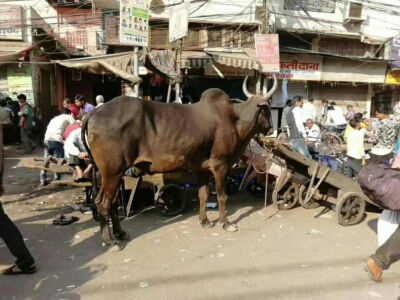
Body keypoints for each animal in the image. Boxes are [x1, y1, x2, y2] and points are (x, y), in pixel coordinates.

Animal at [83, 75, 278, 248]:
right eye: (268, 108)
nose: (272, 129)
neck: (234, 119)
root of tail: (94, 113)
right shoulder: (220, 165)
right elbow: (222, 196)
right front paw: (226, 223)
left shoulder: (203, 168)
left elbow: (203, 194)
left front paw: (205, 221)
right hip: (112, 172)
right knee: (103, 203)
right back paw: (110, 241)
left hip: (114, 174)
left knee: (113, 203)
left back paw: (120, 233)